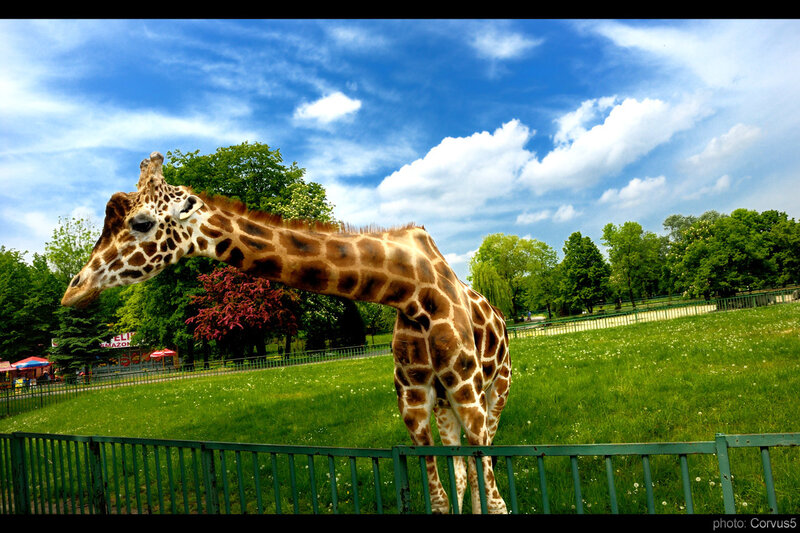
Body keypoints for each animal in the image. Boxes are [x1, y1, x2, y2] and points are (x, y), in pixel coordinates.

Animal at [61, 152, 511, 514]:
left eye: (140, 223)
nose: (74, 289)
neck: (411, 291)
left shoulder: (467, 390)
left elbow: (495, 499)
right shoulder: (414, 402)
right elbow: (442, 496)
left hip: (495, 389)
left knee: (484, 455)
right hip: (445, 404)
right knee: (462, 470)